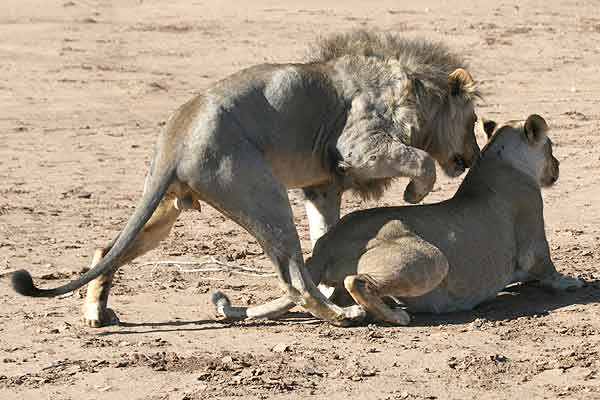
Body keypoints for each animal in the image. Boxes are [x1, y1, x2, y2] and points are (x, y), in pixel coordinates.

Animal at [12, 30, 482, 324]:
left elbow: (325, 234)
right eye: (475, 121)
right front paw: (415, 193)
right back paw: (342, 316)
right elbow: (420, 160)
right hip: (262, 193)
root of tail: (177, 134)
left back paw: (97, 313)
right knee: (294, 278)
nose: (475, 157)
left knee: (108, 247)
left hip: (162, 213)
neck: (413, 89)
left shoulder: (321, 187)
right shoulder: (358, 147)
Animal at [214, 114, 580, 324]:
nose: (559, 166)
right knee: (357, 282)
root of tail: (324, 248)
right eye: (551, 148)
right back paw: (397, 315)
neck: (500, 160)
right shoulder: (533, 232)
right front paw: (570, 282)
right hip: (434, 258)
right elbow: (546, 266)